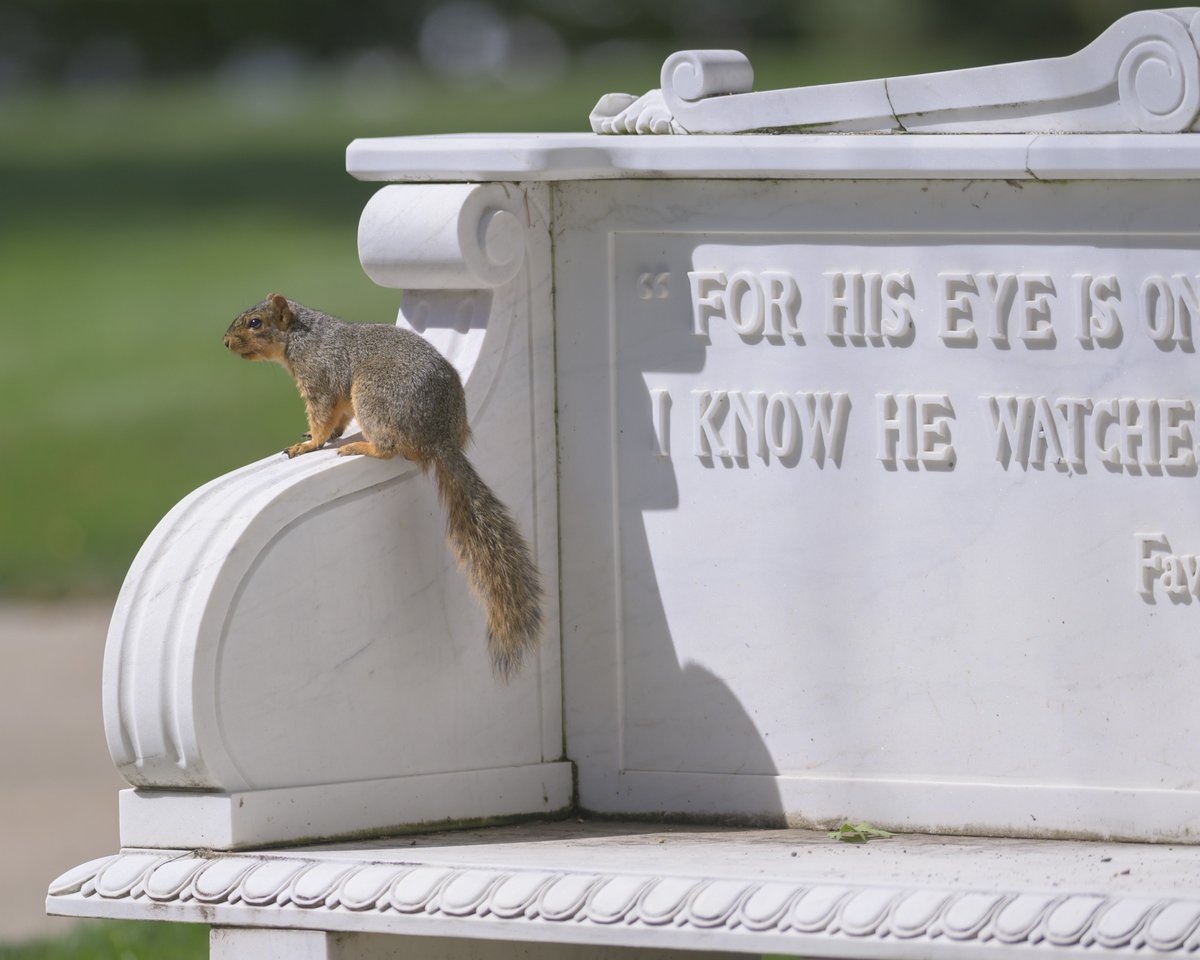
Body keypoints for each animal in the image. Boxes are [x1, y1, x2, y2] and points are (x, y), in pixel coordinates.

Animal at [223, 294, 542, 680]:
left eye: (255, 323)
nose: (226, 341)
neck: (301, 338)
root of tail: (438, 438)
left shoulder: (320, 379)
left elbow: (322, 415)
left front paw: (310, 443)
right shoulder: (337, 397)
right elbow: (338, 418)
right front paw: (324, 436)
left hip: (373, 396)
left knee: (389, 447)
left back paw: (363, 446)